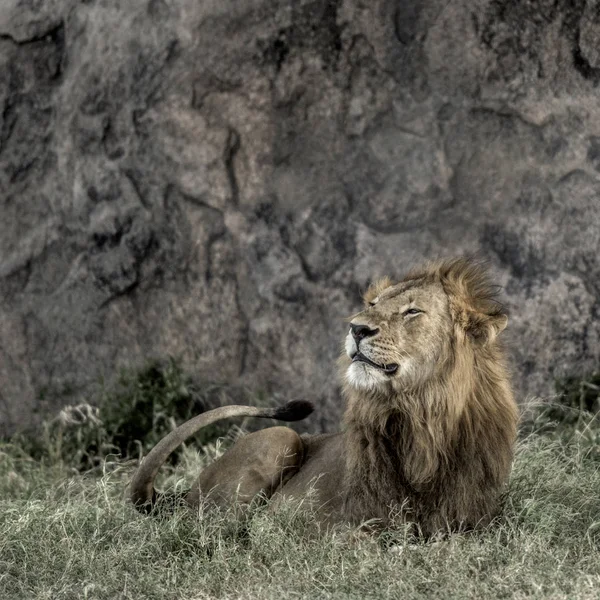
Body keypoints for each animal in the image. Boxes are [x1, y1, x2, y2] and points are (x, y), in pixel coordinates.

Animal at [130, 258, 516, 536]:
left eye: (412, 311)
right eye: (372, 303)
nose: (356, 327)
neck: (422, 420)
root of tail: (182, 495)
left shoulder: (471, 521)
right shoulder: (337, 522)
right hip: (280, 436)